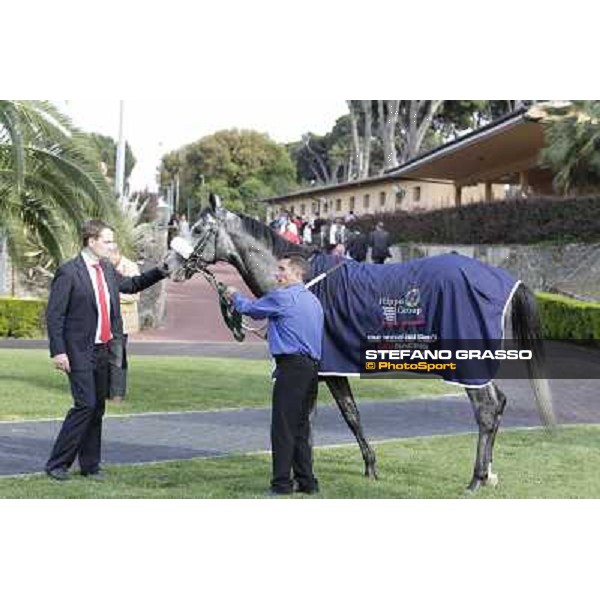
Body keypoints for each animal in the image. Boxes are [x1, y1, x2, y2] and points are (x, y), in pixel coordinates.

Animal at [168, 197, 552, 492]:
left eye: (198, 230)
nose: (168, 265)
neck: (305, 285)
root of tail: (506, 280)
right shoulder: (331, 372)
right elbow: (349, 415)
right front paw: (369, 467)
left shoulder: (320, 369)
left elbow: (311, 421)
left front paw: (303, 478)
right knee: (498, 403)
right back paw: (489, 475)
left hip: (466, 363)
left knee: (486, 409)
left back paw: (475, 479)